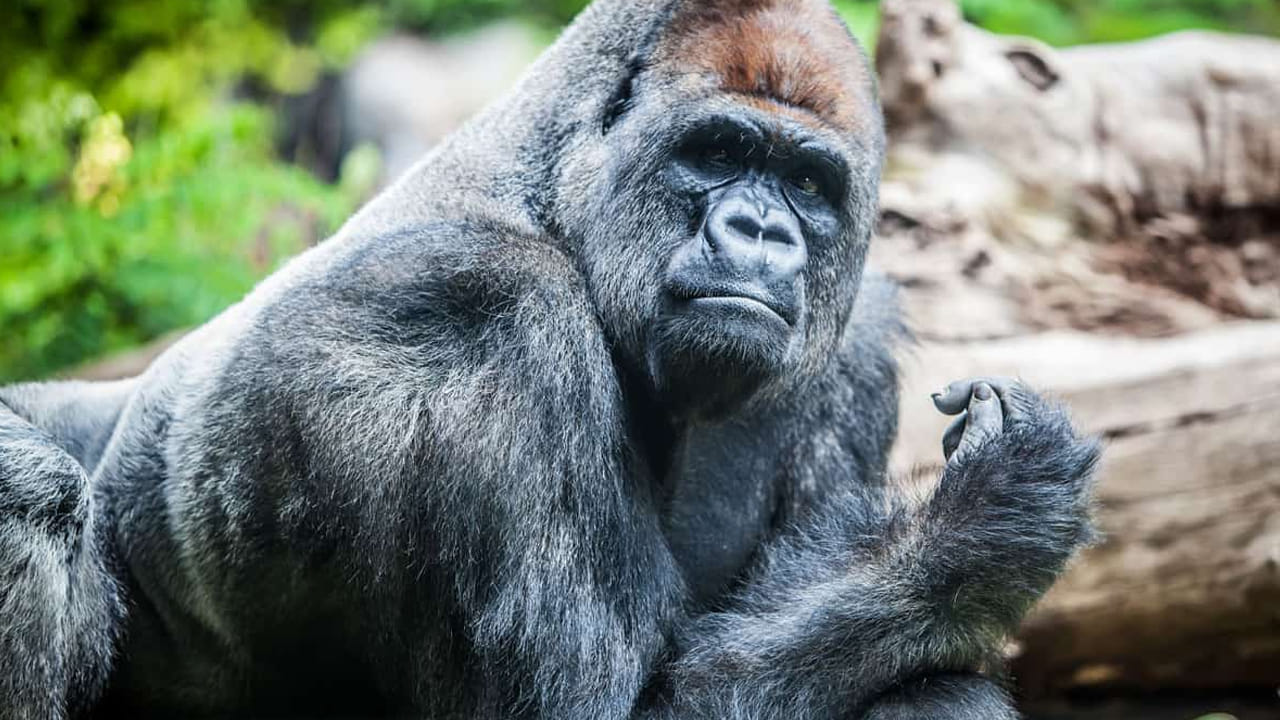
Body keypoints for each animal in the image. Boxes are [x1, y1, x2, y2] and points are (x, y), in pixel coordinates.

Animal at [0, 1, 1099, 717]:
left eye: (804, 181)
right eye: (716, 152)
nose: (759, 232)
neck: (554, 188)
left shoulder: (853, 339)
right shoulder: (482, 308)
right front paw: (984, 524)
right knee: (31, 490)